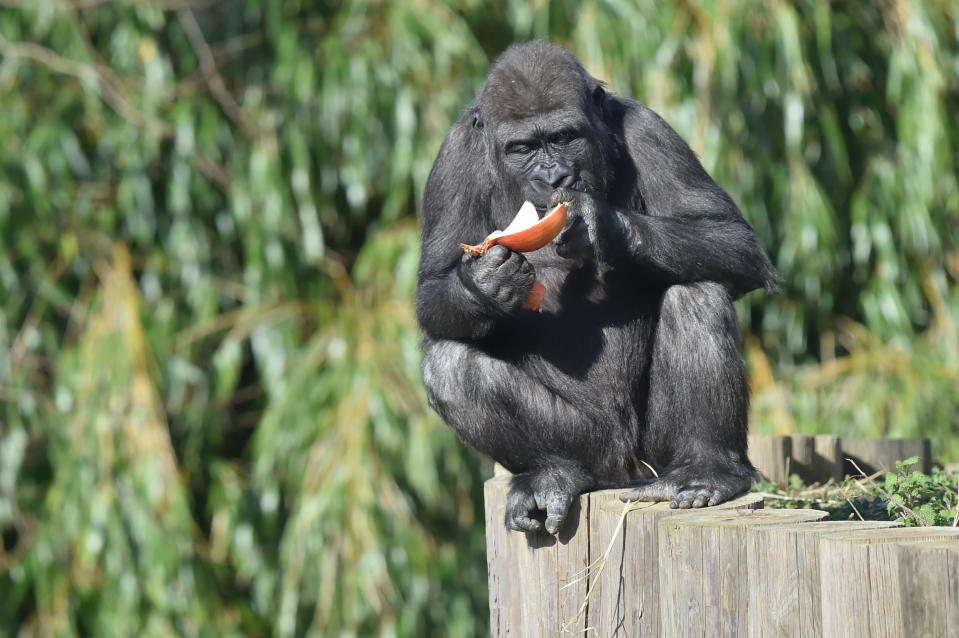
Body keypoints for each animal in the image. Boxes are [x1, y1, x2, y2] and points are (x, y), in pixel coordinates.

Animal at [418, 41, 780, 536]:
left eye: (565, 136)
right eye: (523, 148)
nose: (554, 177)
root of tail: (619, 470)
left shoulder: (649, 130)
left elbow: (731, 239)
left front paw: (600, 224)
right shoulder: (452, 157)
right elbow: (433, 290)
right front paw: (485, 283)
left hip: (650, 459)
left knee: (697, 292)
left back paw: (708, 469)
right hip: (594, 448)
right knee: (450, 366)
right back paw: (552, 472)